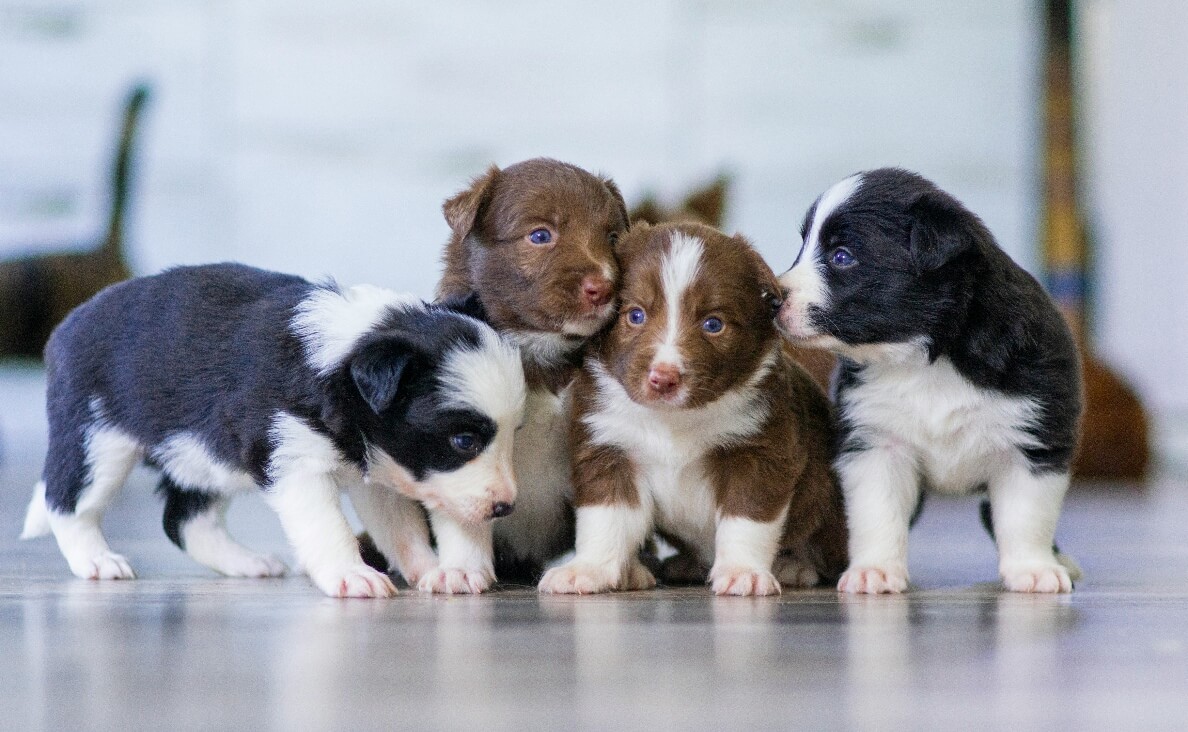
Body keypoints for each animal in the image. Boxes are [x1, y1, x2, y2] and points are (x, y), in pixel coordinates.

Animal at [19, 266, 525, 596]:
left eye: (514, 433)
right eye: (464, 441)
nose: (505, 507)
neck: (343, 358)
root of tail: (68, 324)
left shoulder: (379, 471)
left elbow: (401, 528)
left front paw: (435, 571)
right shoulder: (295, 463)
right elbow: (328, 527)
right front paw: (351, 575)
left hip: (200, 455)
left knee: (184, 520)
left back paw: (245, 563)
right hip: (97, 438)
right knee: (68, 502)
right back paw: (96, 560)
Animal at [534, 221, 850, 594]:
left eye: (713, 324)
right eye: (635, 315)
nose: (663, 379)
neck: (673, 420)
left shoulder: (759, 450)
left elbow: (745, 519)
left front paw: (742, 572)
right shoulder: (608, 447)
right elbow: (604, 518)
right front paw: (586, 569)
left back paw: (794, 566)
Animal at [774, 169, 1083, 594]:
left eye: (842, 256)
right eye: (802, 246)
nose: (772, 297)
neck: (925, 358)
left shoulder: (1032, 442)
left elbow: (1025, 516)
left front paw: (1033, 569)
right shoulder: (876, 443)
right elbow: (877, 513)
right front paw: (875, 570)